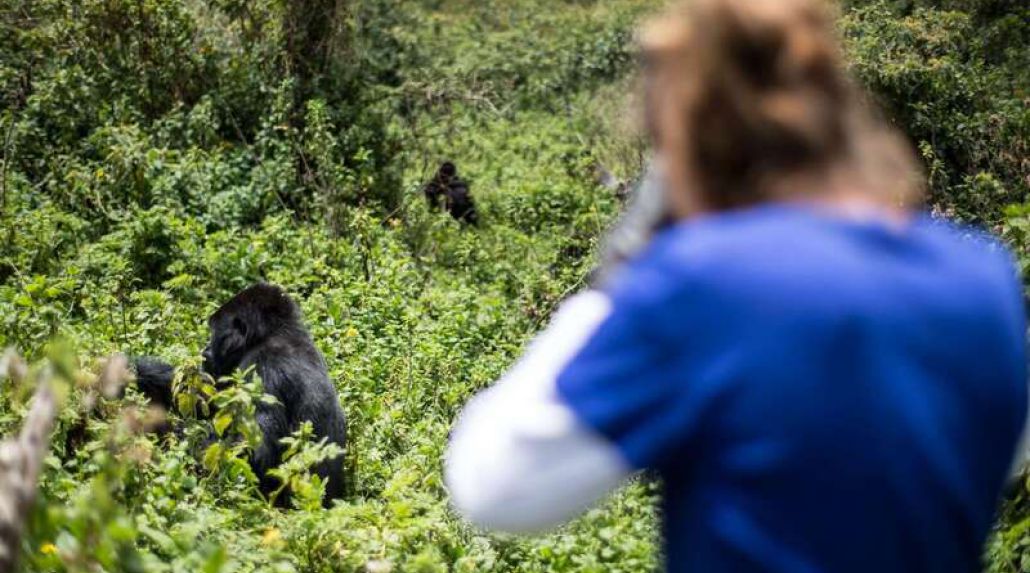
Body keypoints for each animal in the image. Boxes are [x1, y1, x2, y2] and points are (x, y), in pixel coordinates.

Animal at [132, 282, 346, 504]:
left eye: (213, 333)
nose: (205, 348)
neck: (275, 334)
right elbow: (207, 401)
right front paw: (141, 372)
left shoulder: (261, 368)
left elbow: (250, 454)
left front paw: (160, 428)